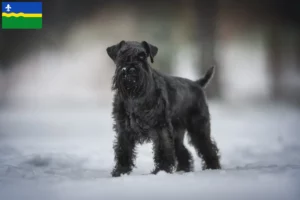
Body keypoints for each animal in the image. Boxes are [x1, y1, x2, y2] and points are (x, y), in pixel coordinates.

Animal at [105, 40, 220, 177]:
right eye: (122, 54)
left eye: (142, 56)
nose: (131, 69)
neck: (135, 96)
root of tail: (197, 84)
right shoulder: (123, 128)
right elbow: (123, 150)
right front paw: (120, 172)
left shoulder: (161, 127)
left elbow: (163, 149)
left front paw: (161, 170)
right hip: (177, 132)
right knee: (183, 151)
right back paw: (183, 170)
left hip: (199, 128)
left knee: (208, 148)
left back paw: (213, 168)